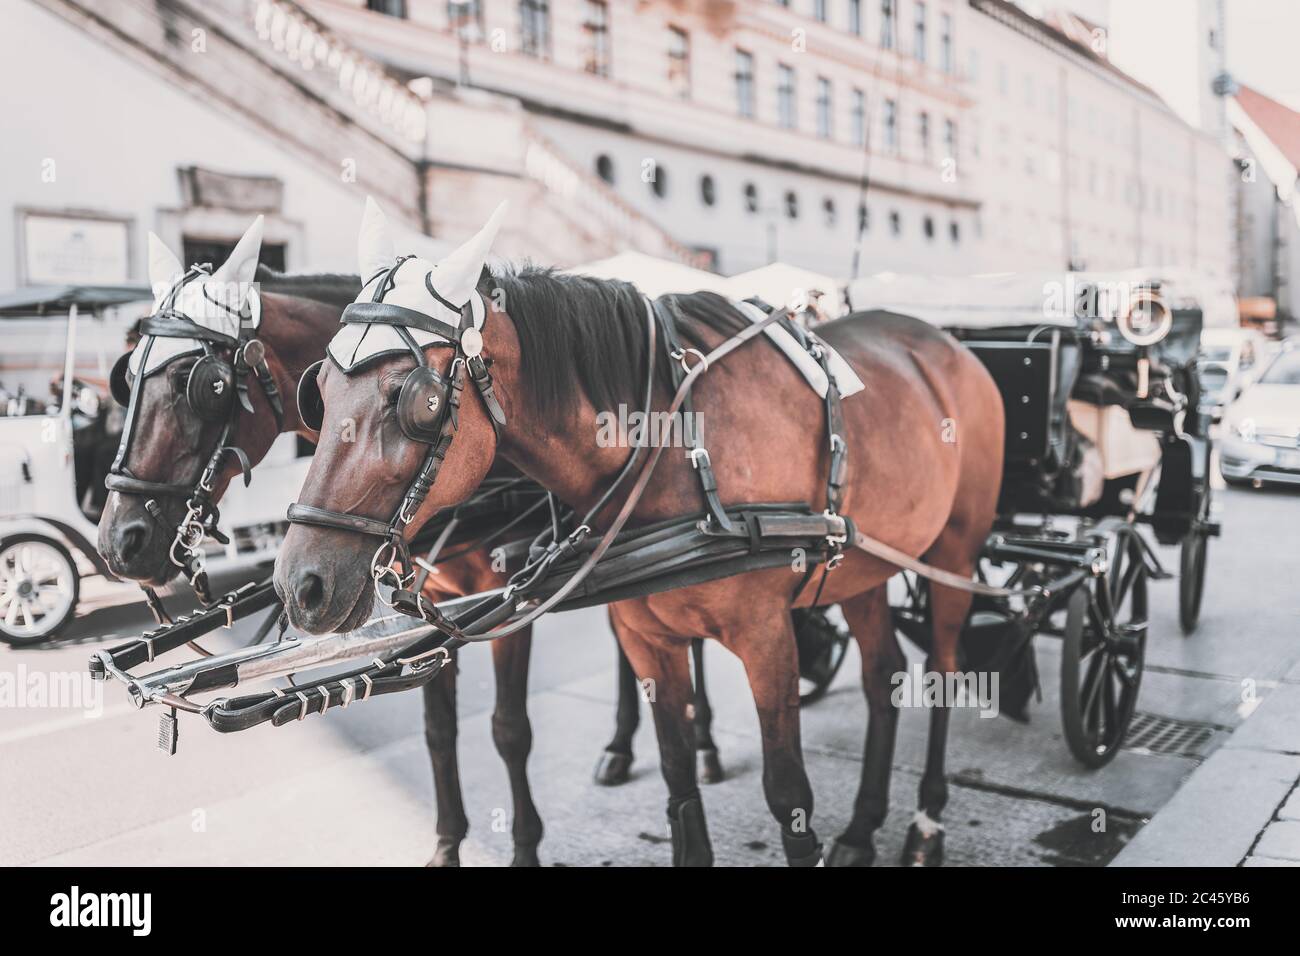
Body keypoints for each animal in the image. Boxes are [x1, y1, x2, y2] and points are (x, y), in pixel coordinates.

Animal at [275, 200, 1005, 867]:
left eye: (417, 400)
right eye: (320, 391)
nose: (300, 584)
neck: (676, 442)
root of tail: (947, 344)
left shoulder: (768, 637)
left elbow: (788, 796)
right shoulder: (647, 637)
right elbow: (680, 792)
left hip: (954, 552)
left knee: (941, 670)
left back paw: (925, 822)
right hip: (859, 567)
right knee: (884, 676)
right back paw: (862, 826)